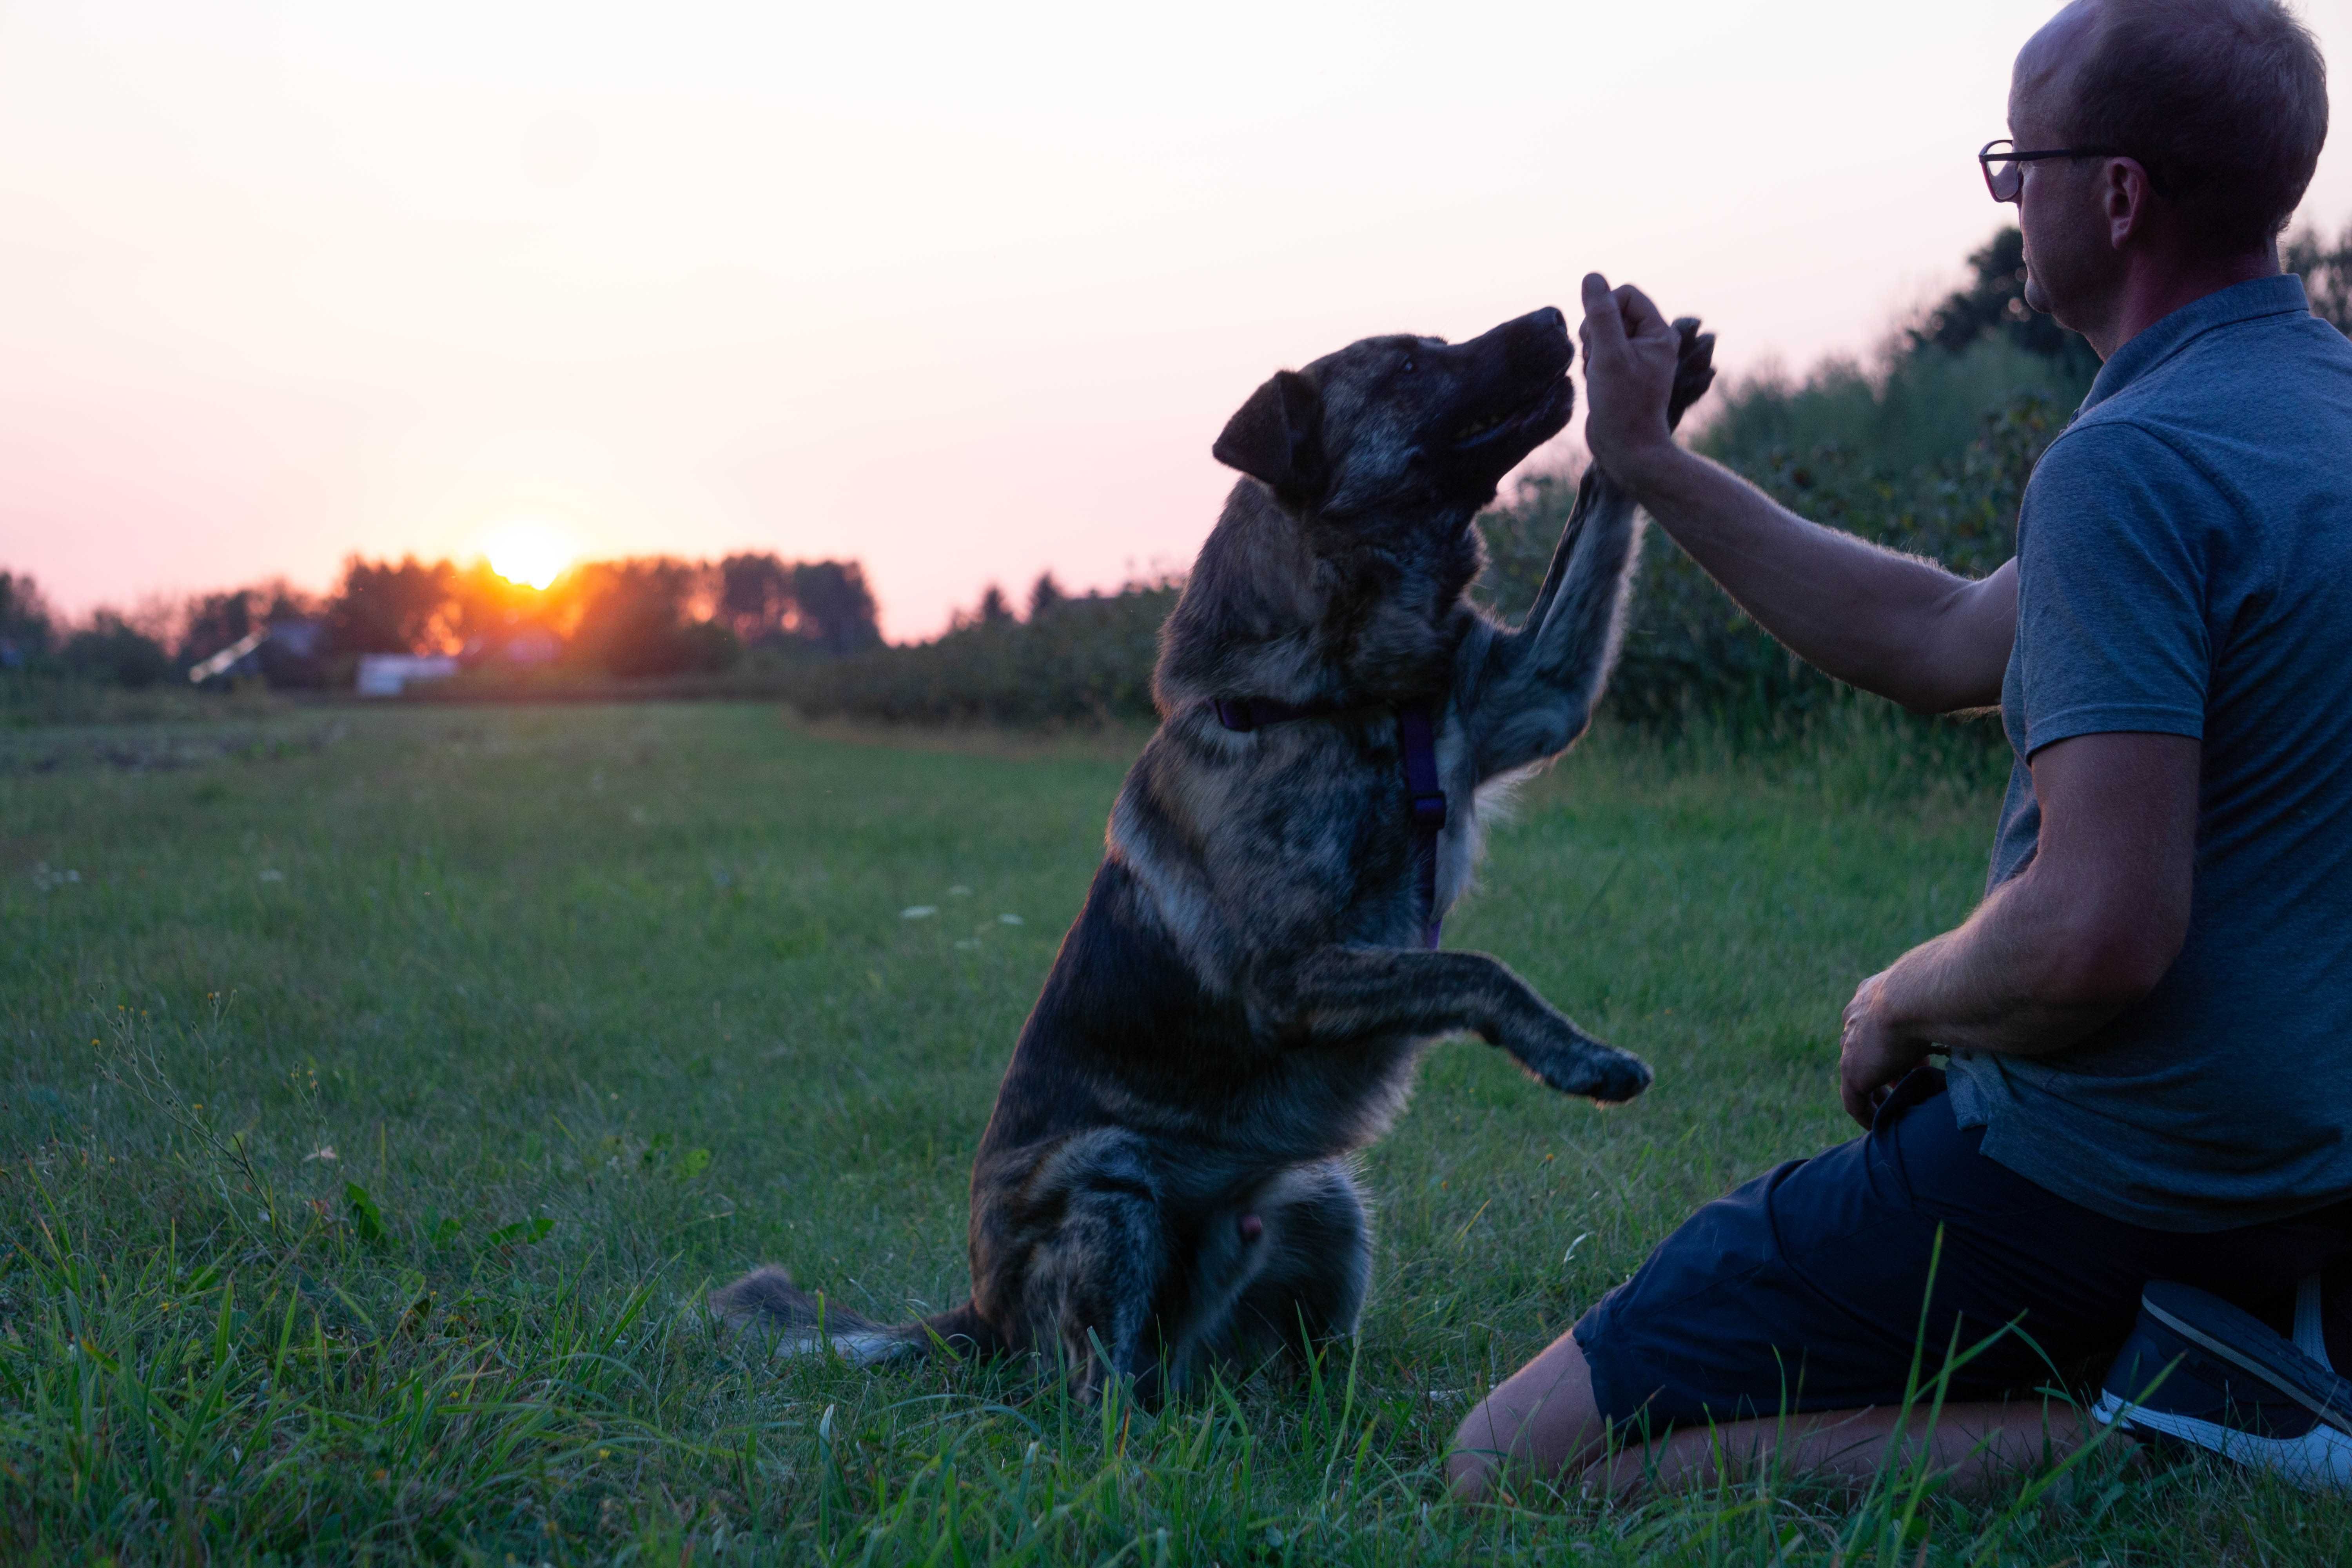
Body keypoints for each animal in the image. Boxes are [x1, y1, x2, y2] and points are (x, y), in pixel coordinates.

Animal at [706, 303, 1722, 1401]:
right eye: (1409, 366)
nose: (1548, 318)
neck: (1337, 686)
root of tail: (979, 1318)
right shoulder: (1291, 973)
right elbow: (1476, 967)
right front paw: (1578, 1054)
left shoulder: (1530, 695)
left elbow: (1597, 518)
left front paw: (1654, 395)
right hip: (1111, 1184)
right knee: (1090, 1398)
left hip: (1323, 1198)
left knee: (1284, 1374)